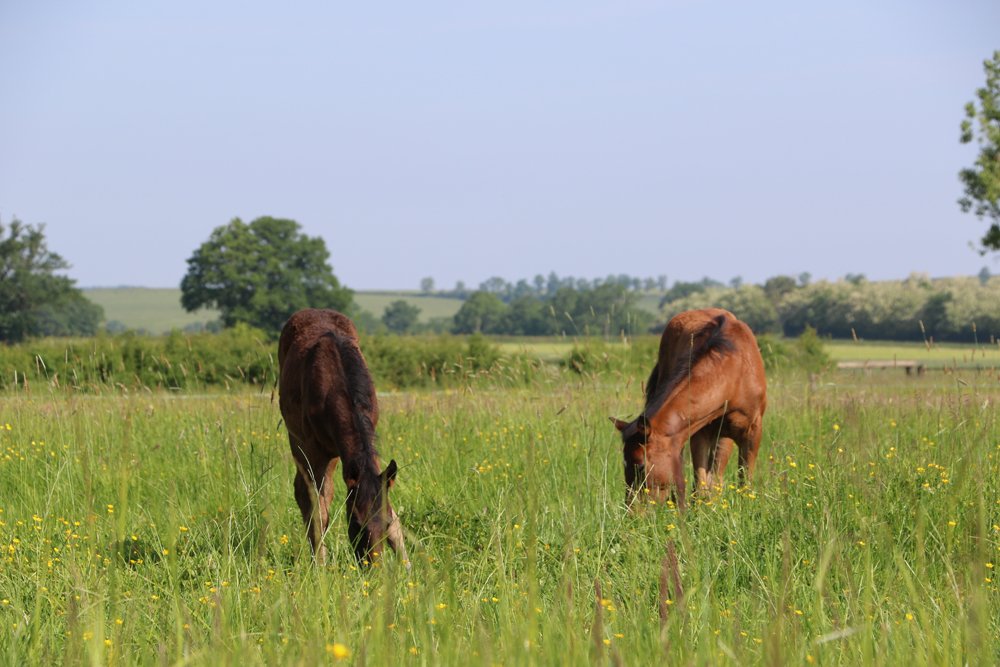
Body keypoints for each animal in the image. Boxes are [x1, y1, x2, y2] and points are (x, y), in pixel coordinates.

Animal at [278, 308, 407, 566]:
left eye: (386, 524)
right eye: (356, 523)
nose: (373, 567)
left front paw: (407, 564)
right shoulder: (316, 451)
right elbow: (318, 510)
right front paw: (320, 565)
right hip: (298, 440)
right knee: (305, 493)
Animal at [611, 308, 767, 510]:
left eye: (641, 465)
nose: (632, 511)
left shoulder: (753, 431)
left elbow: (744, 481)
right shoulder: (699, 432)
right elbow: (701, 484)